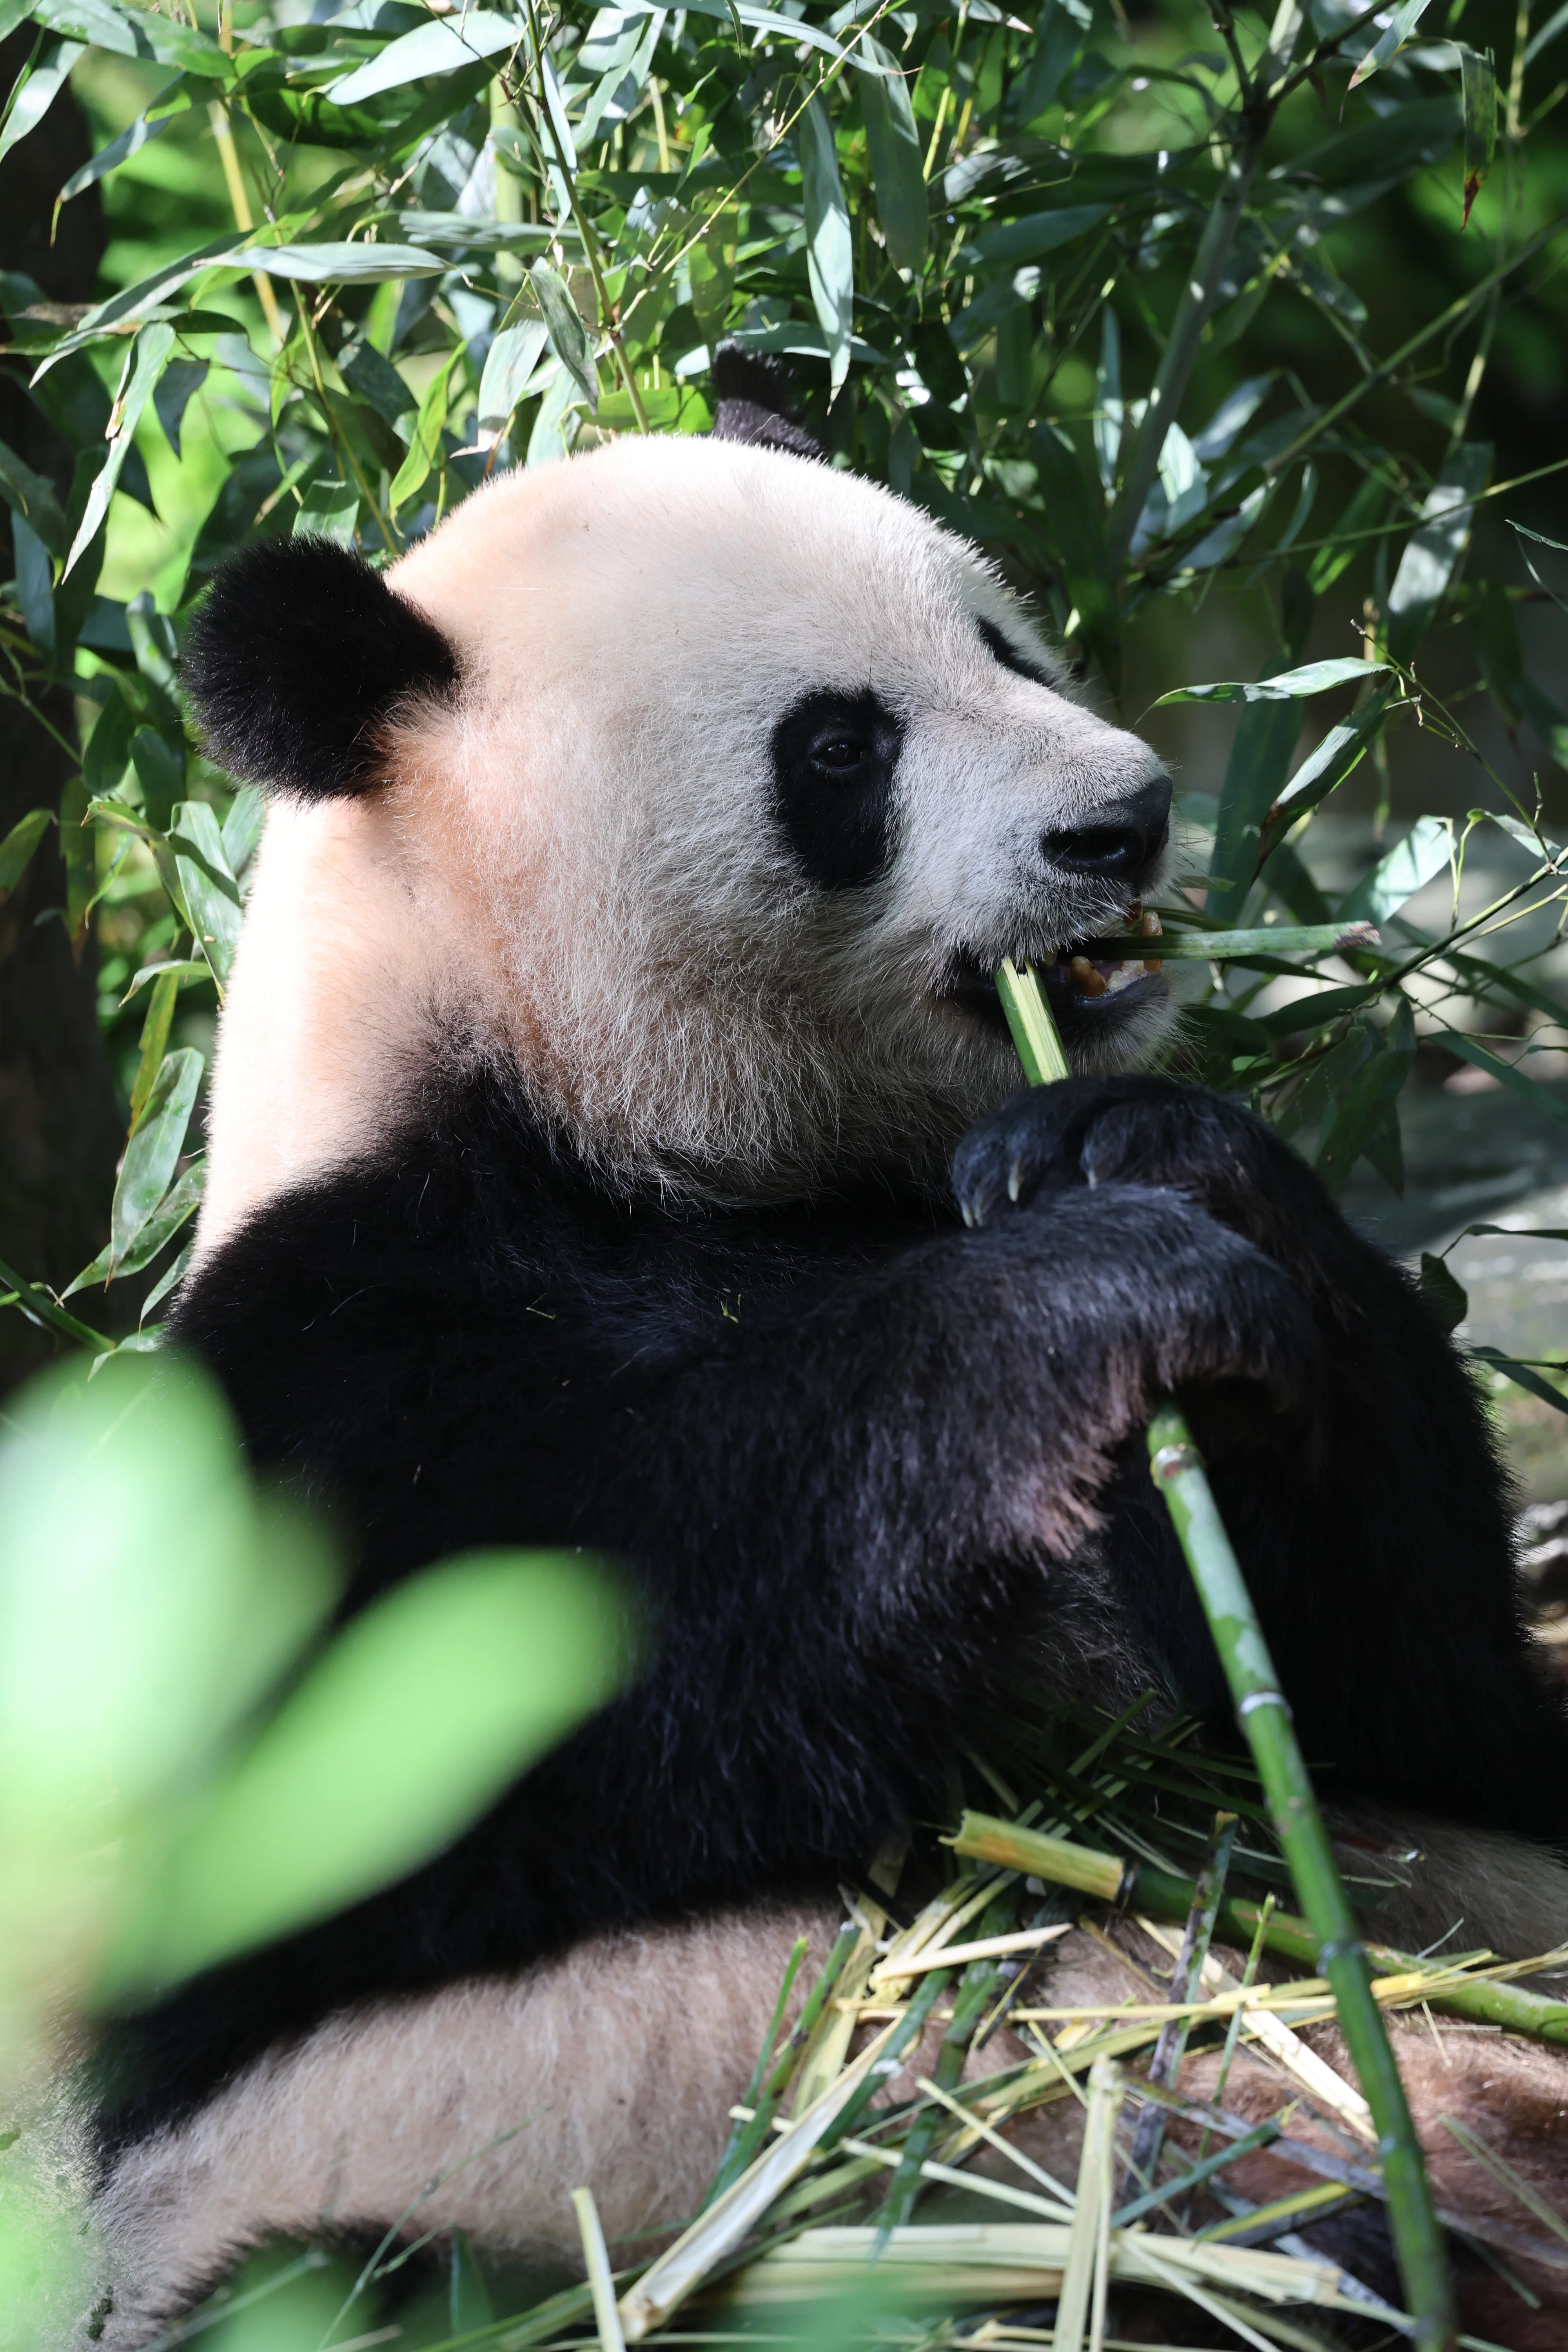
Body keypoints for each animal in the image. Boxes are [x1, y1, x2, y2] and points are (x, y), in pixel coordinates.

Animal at [82, 357, 1568, 2344]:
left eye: (999, 637)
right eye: (839, 749)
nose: (1122, 819)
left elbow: (1411, 1690)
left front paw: (1145, 1161)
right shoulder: (320, 1359)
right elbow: (419, 1733)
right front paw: (1080, 1297)